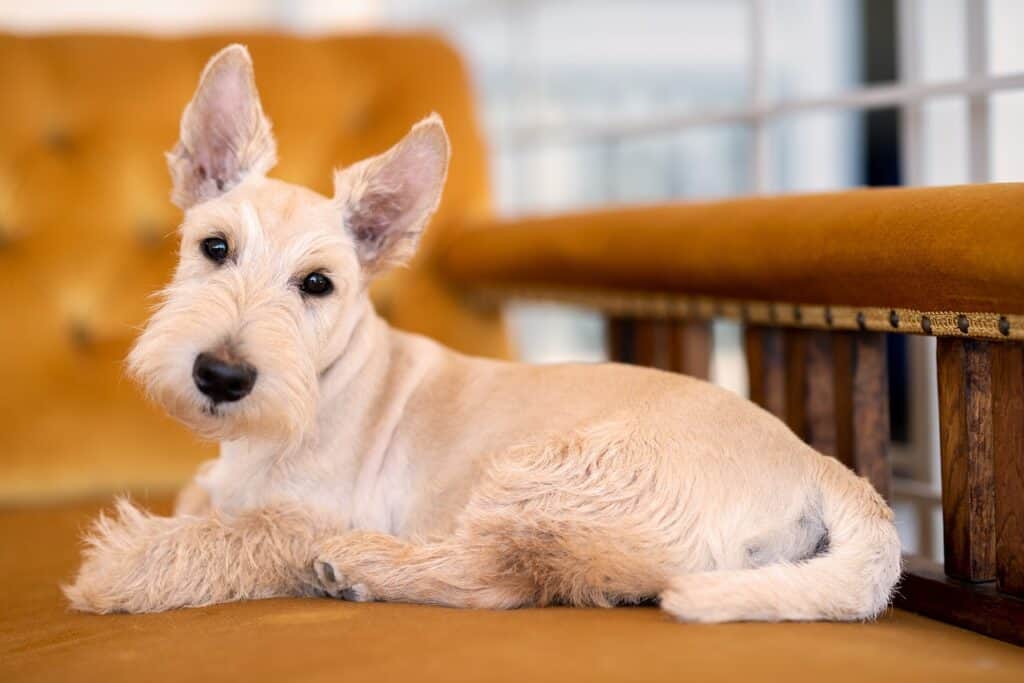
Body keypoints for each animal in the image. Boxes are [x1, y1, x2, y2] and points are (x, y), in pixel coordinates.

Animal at [64, 45, 901, 622]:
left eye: (317, 283)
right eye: (214, 246)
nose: (222, 376)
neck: (326, 383)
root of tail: (820, 466)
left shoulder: (308, 513)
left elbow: (235, 536)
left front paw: (121, 565)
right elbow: (209, 510)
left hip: (549, 471)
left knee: (501, 576)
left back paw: (361, 564)